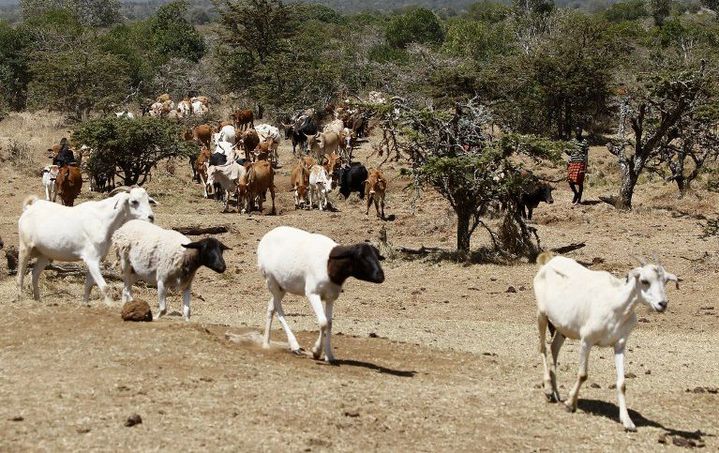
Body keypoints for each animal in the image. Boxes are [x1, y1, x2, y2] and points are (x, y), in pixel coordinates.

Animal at [17, 185, 157, 306]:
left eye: (148, 200)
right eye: (134, 201)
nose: (151, 217)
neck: (102, 220)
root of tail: (32, 206)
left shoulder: (95, 261)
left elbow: (88, 287)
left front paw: (85, 304)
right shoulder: (91, 259)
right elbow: (105, 287)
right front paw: (110, 305)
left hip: (44, 255)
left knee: (34, 274)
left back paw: (38, 299)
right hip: (25, 248)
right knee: (20, 274)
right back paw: (20, 297)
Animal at [256, 228, 386, 362]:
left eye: (377, 256)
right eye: (360, 256)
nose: (381, 276)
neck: (329, 264)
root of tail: (268, 235)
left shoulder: (330, 297)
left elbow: (329, 323)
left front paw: (329, 355)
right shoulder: (313, 293)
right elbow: (323, 322)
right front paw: (316, 352)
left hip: (282, 286)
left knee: (271, 306)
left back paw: (266, 343)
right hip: (271, 280)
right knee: (279, 310)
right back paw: (294, 346)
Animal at [536, 252, 680, 430]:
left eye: (665, 281)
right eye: (644, 280)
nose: (662, 304)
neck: (616, 306)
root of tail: (549, 261)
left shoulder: (619, 345)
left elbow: (622, 383)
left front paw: (627, 421)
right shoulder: (586, 341)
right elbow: (583, 374)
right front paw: (570, 404)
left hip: (562, 328)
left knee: (554, 348)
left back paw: (556, 393)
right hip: (541, 315)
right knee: (543, 348)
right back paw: (548, 390)